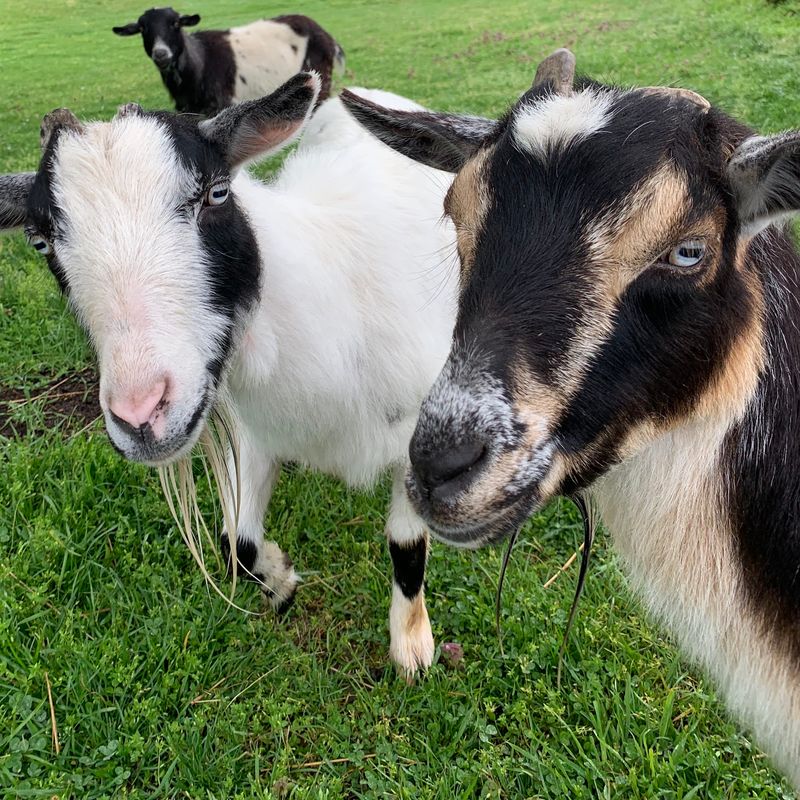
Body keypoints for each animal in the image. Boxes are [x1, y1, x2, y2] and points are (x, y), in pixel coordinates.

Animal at [0, 73, 458, 677]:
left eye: (216, 193)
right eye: (41, 241)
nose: (141, 414)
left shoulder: (418, 437)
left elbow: (406, 547)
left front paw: (412, 650)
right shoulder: (255, 430)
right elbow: (234, 543)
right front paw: (282, 583)